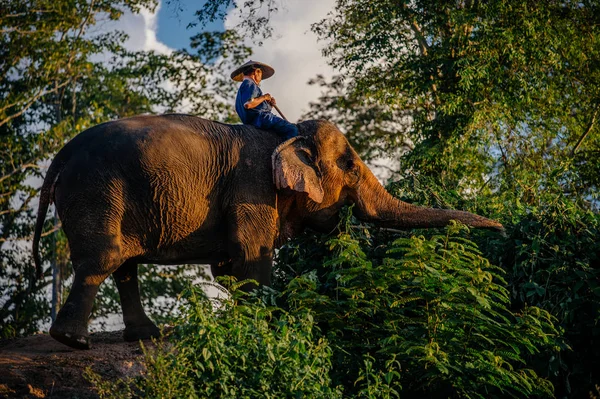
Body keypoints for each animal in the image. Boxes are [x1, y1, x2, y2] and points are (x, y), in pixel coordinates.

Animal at [31, 113, 502, 350]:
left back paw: (145, 337)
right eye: (350, 166)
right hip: (98, 190)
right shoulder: (252, 188)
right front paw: (272, 327)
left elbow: (228, 268)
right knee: (105, 258)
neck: (287, 135)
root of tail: (60, 156)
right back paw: (74, 342)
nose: (498, 226)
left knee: (123, 263)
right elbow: (251, 257)